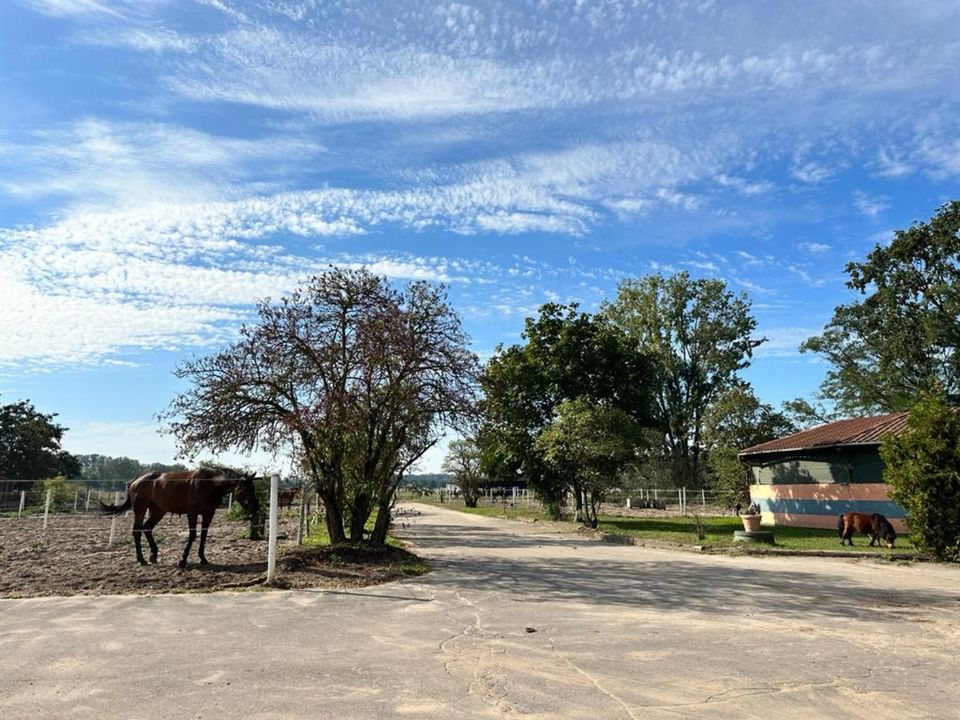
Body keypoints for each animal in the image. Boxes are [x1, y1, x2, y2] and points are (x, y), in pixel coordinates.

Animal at [99, 466, 260, 568]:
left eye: (253, 488)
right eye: (246, 489)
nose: (256, 508)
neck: (209, 484)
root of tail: (137, 480)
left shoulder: (209, 513)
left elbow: (204, 536)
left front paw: (203, 558)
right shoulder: (192, 513)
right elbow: (193, 535)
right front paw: (183, 560)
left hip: (158, 510)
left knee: (147, 528)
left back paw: (153, 555)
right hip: (140, 509)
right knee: (137, 531)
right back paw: (142, 559)